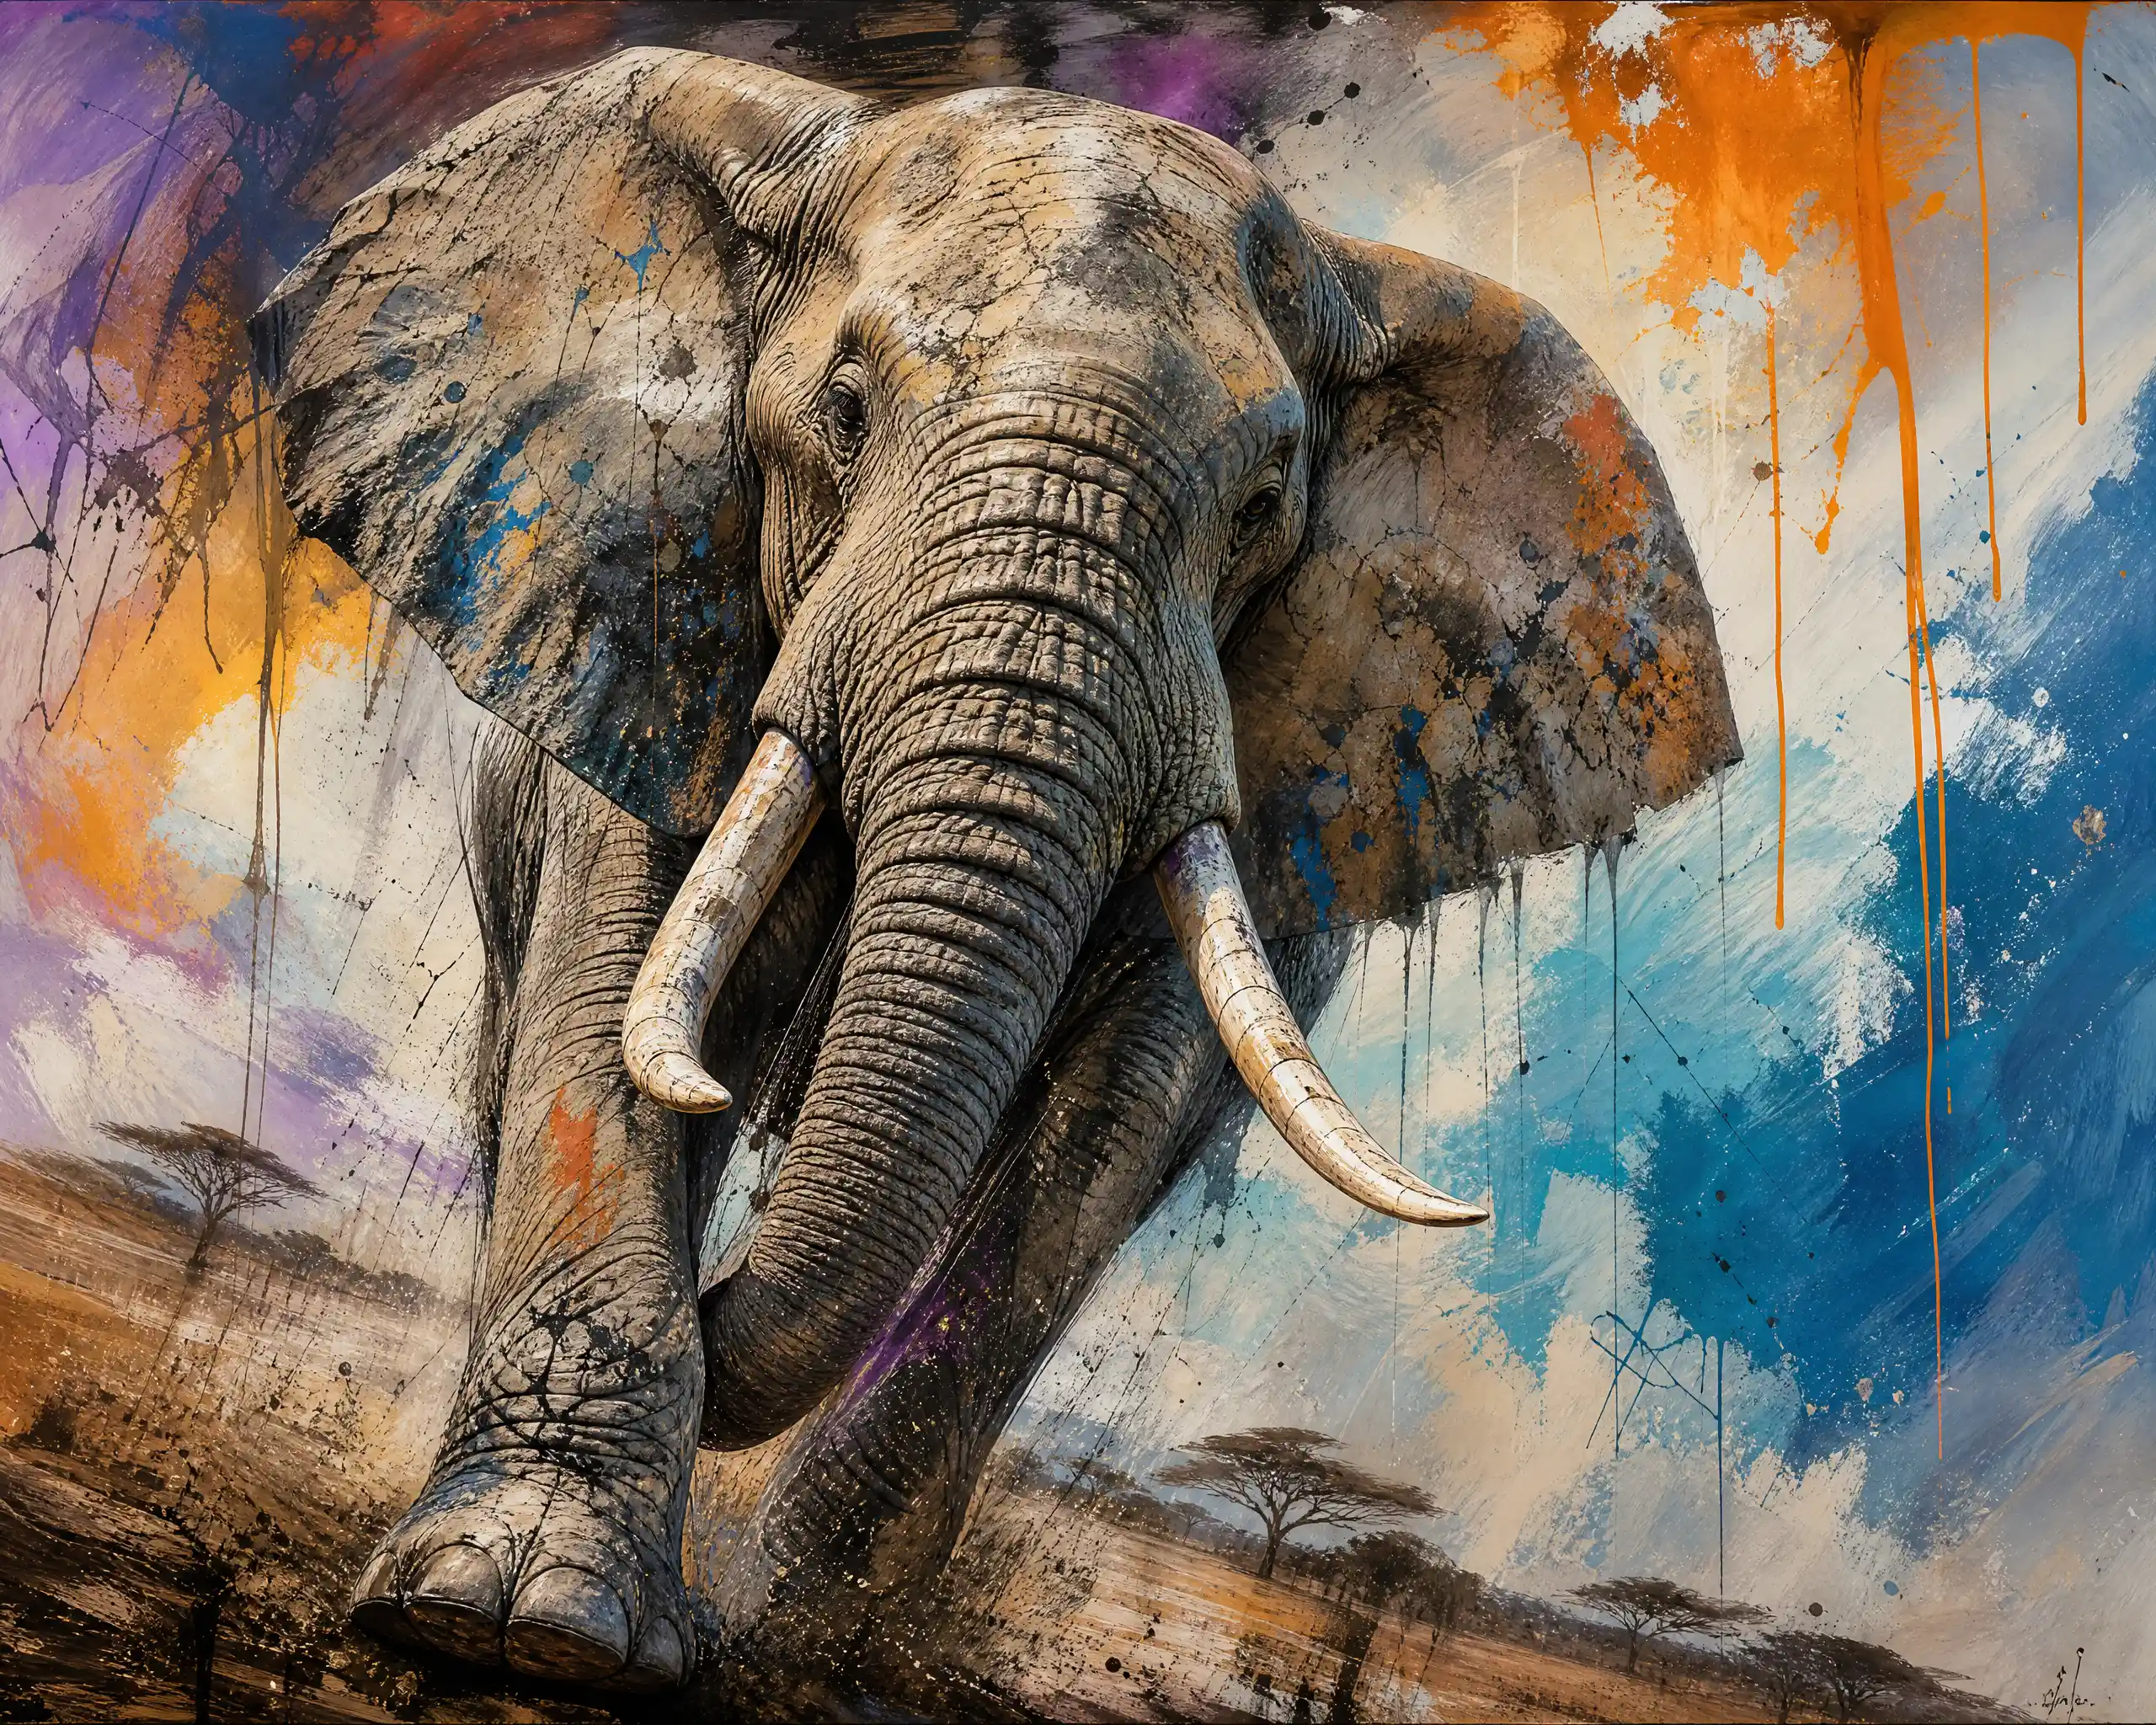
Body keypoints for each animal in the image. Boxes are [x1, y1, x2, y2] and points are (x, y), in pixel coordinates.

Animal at [251, 46, 1738, 1692]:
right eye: (843, 413)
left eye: (1263, 508)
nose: (716, 1303)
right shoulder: (646, 603)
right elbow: (615, 982)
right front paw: (514, 1622)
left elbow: (1117, 1113)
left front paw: (794, 1641)